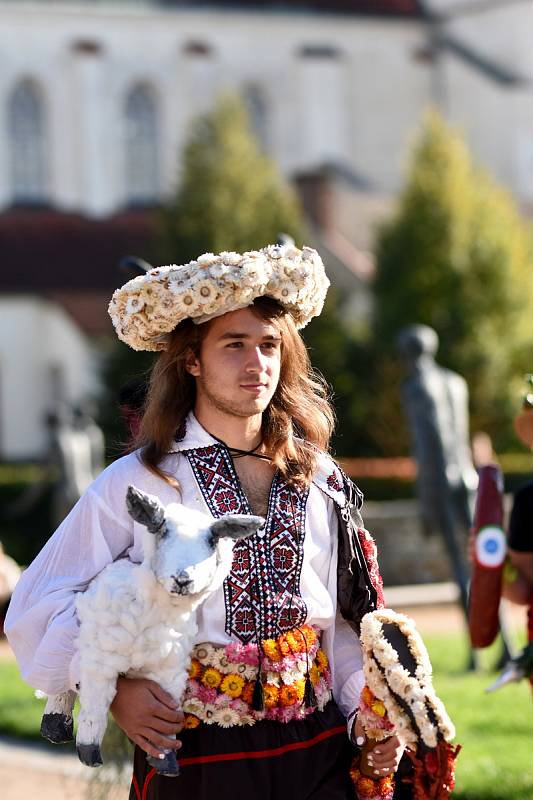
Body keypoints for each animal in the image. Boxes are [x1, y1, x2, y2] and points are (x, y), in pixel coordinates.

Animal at [40, 484, 262, 780]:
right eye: (163, 531)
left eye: (212, 540)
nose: (183, 579)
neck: (153, 611)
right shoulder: (100, 661)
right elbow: (96, 706)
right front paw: (89, 751)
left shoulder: (168, 671)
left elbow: (167, 716)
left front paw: (166, 762)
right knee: (64, 684)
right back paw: (55, 725)